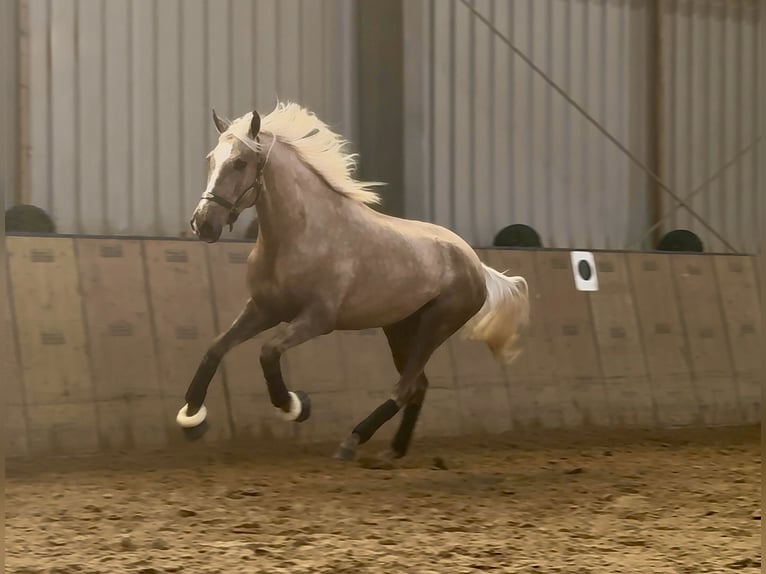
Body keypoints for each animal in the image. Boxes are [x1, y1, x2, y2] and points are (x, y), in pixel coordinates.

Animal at [177, 101, 530, 462]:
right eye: (211, 158)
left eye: (239, 162)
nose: (202, 224)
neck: (300, 235)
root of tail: (476, 263)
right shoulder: (263, 310)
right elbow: (215, 348)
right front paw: (192, 418)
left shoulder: (317, 320)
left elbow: (268, 352)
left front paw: (295, 406)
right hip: (400, 328)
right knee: (418, 386)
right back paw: (391, 452)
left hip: (436, 326)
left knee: (404, 388)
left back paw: (352, 442)